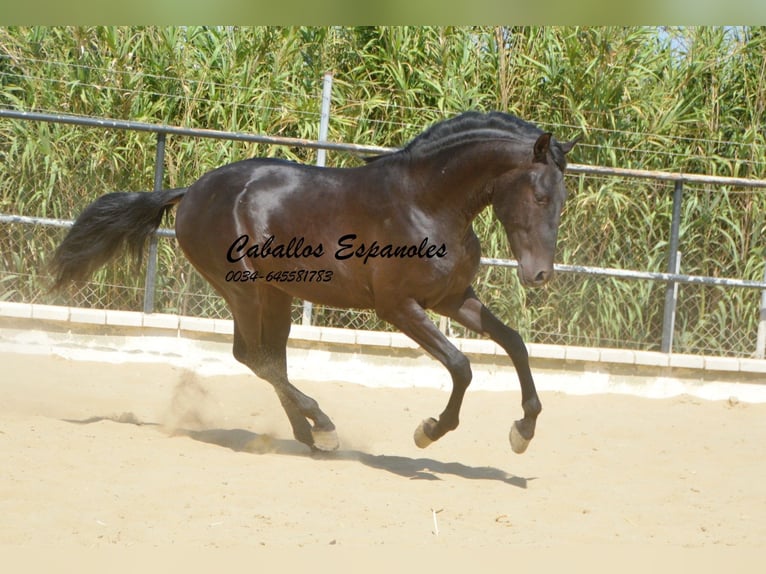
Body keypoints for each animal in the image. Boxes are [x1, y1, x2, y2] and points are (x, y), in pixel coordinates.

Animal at [52, 111, 584, 454]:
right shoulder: (398, 307)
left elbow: (514, 343)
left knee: (271, 358)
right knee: (253, 357)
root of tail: (191, 191)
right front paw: (430, 430)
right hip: (242, 289)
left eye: (563, 201)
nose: (539, 275)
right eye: (540, 196)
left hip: (277, 295)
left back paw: (310, 435)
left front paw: (523, 431)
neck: (426, 203)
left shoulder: (453, 298)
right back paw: (323, 425)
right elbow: (461, 366)